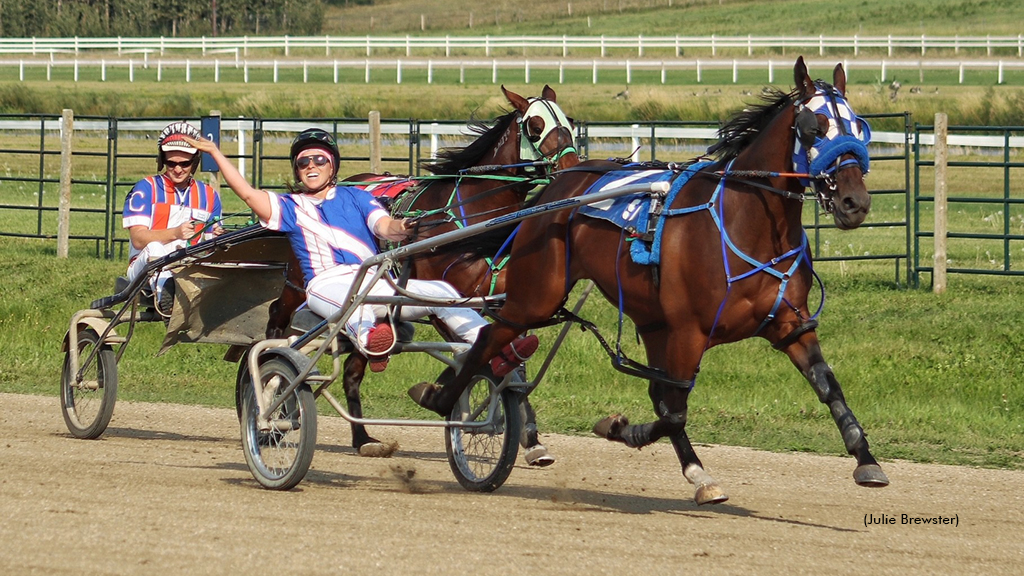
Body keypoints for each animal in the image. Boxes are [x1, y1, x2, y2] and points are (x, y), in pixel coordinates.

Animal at [262, 84, 577, 461]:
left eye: (571, 122)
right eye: (535, 125)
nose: (573, 167)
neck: (470, 219)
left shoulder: (507, 303)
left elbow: (506, 353)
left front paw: (530, 436)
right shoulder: (447, 298)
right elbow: (472, 352)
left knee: (353, 369)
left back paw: (362, 436)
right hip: (299, 282)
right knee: (277, 316)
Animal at [407, 56, 888, 500]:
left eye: (860, 126)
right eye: (814, 127)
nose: (854, 202)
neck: (743, 223)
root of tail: (560, 187)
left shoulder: (789, 324)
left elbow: (828, 386)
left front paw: (866, 459)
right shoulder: (689, 331)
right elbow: (673, 410)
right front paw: (622, 429)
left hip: (647, 317)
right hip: (537, 295)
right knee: (491, 339)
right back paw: (445, 400)